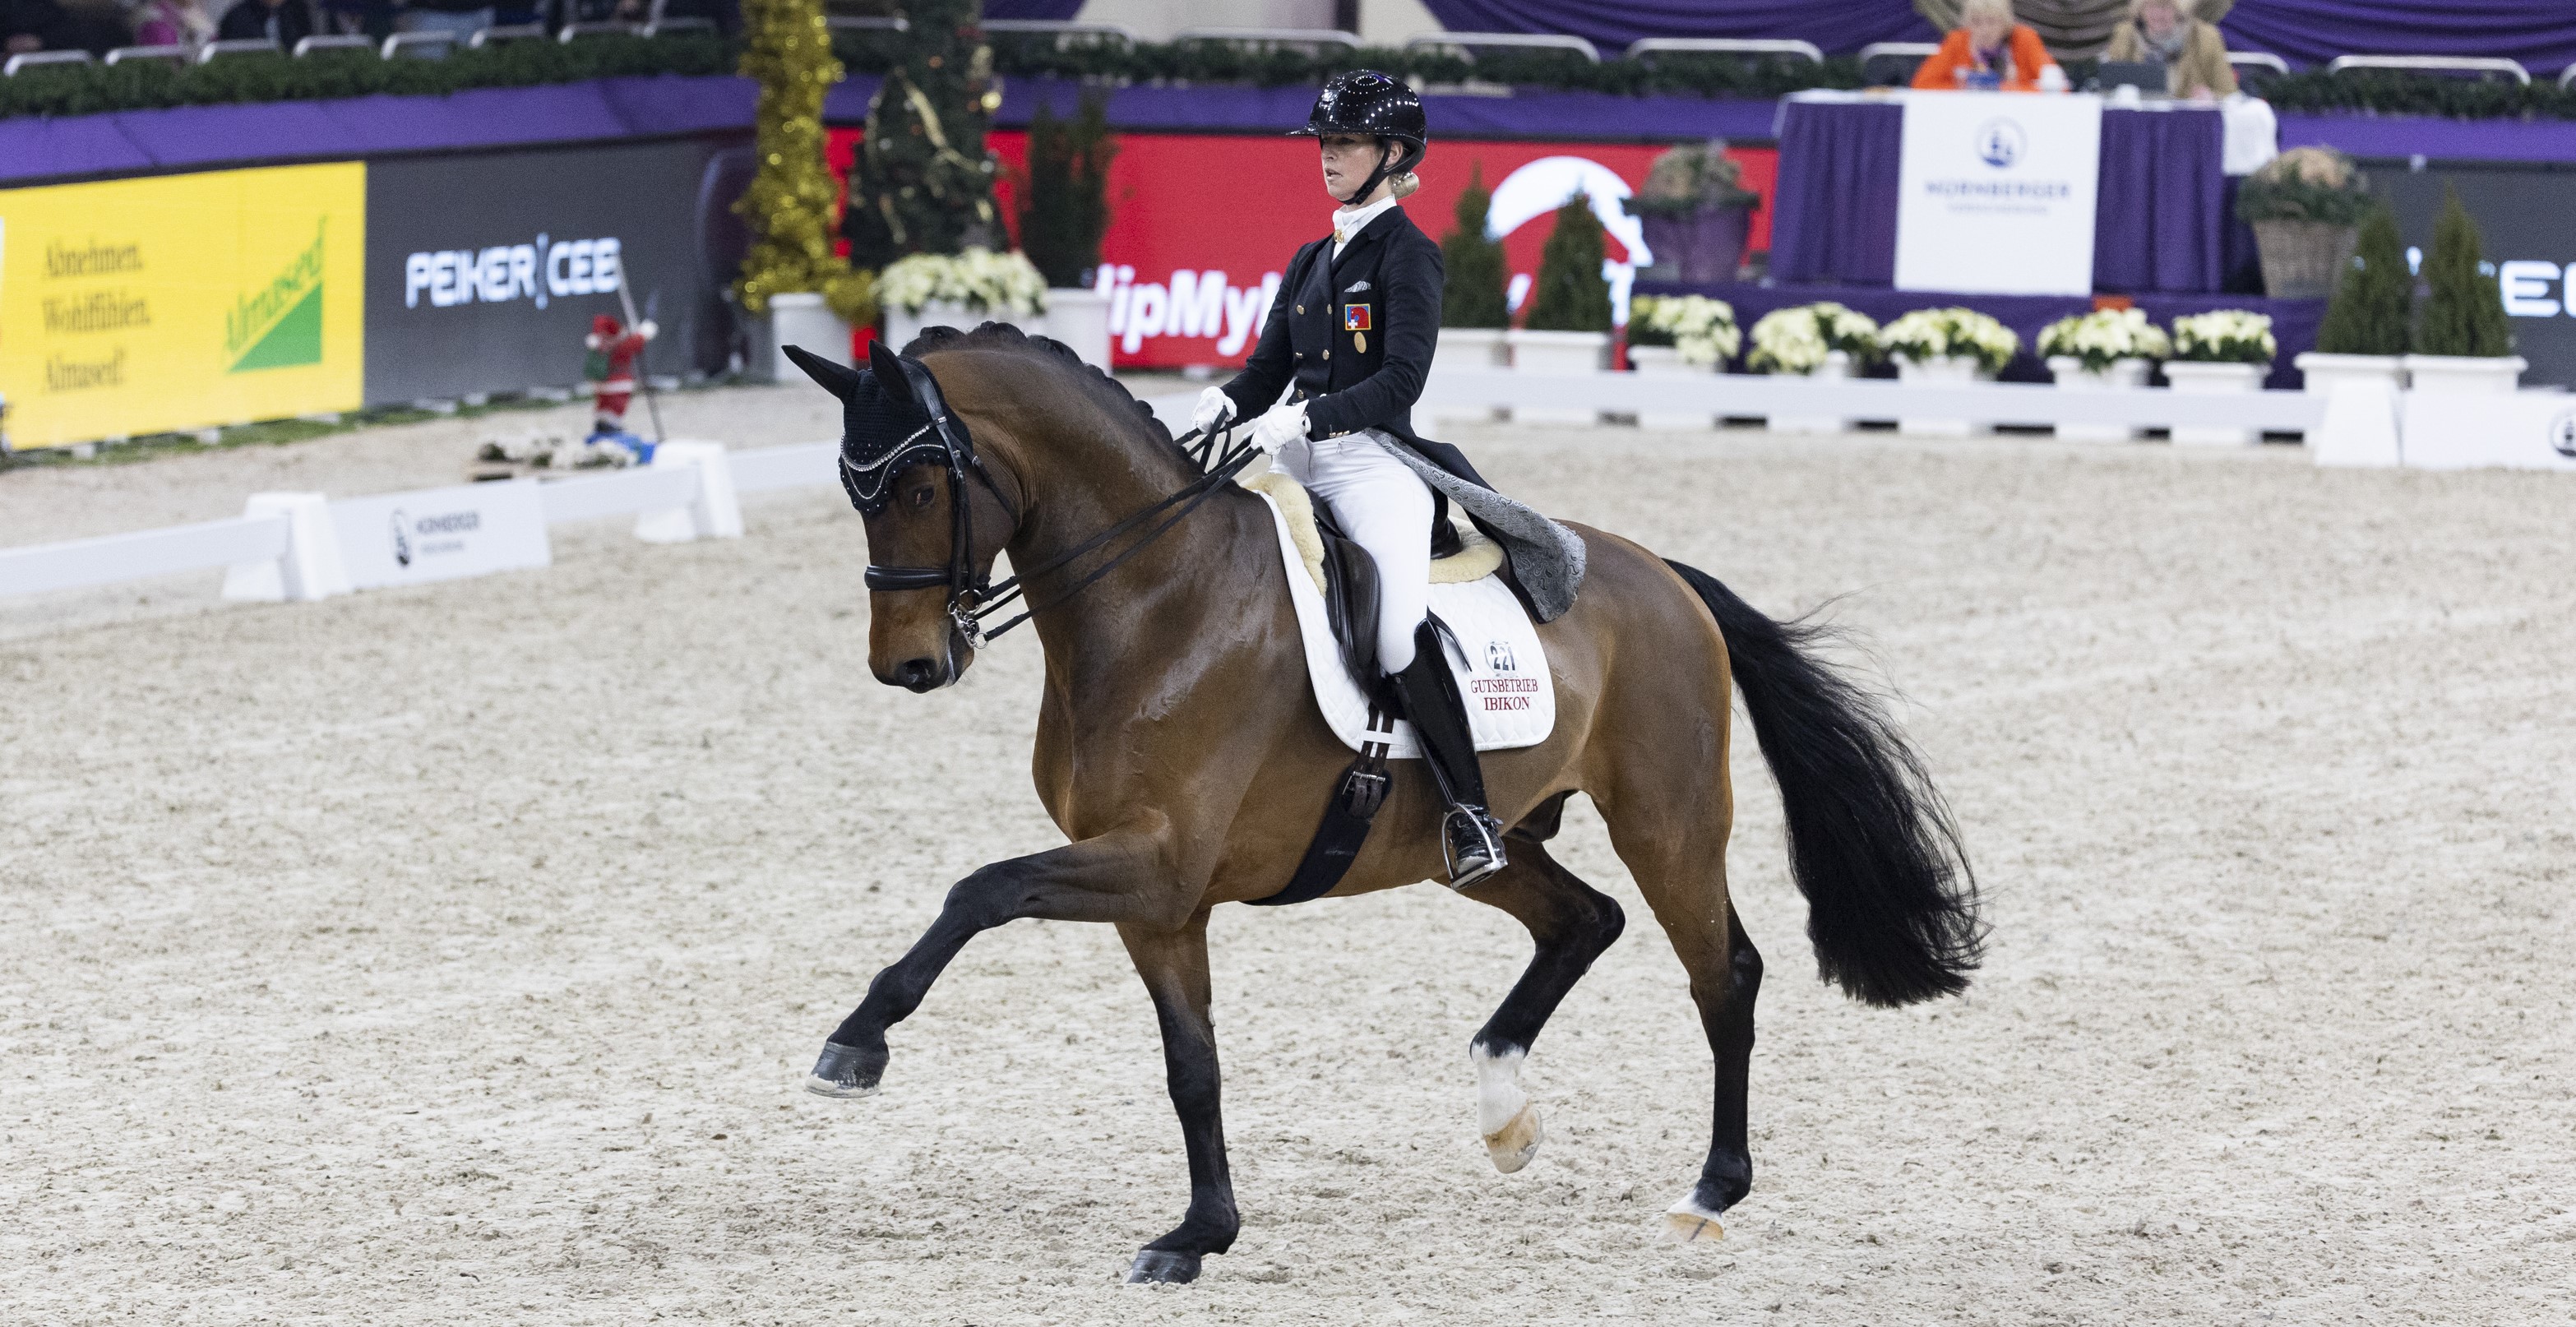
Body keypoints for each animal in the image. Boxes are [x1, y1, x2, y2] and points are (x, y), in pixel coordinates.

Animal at [783, 324, 1968, 1288]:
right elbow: (1191, 1067)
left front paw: (855, 1044)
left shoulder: (1156, 862)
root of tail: (1665, 577)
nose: (909, 666)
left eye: (920, 487)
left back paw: (1708, 1192)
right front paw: (1200, 1235)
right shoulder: (1162, 902)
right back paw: (1504, 1114)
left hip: (1667, 821)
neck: (1157, 599)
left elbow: (979, 889)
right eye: (852, 489)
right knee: (1584, 921)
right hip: (1478, 847)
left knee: (1722, 974)